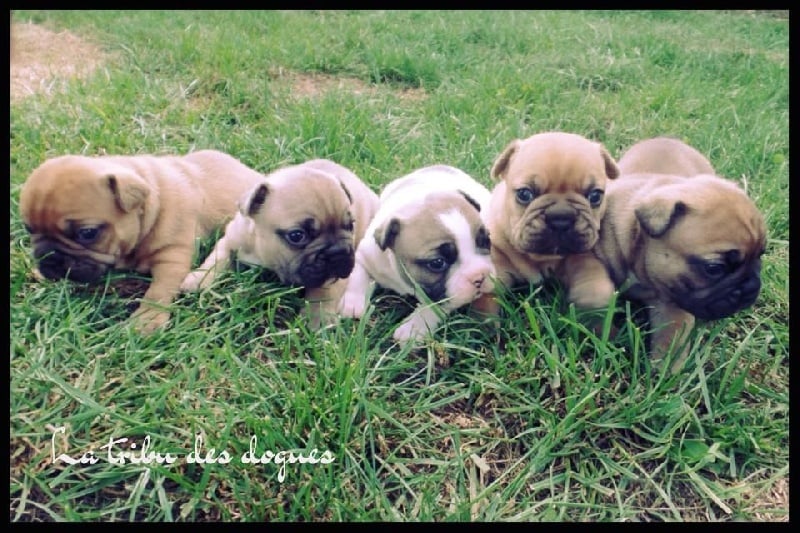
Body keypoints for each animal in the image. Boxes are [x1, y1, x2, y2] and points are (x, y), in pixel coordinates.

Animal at [18, 150, 266, 332]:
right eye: (28, 228)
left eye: (87, 233)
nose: (48, 256)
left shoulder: (172, 257)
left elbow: (158, 291)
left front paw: (146, 321)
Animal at [181, 158, 382, 328]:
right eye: (297, 236)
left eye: (350, 225)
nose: (338, 251)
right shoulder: (230, 240)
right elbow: (216, 259)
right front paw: (197, 279)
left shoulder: (331, 276)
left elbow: (324, 292)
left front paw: (316, 319)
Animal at [340, 164, 500, 342]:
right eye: (437, 263)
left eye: (485, 241)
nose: (479, 276)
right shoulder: (365, 256)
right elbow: (356, 275)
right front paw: (351, 302)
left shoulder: (446, 293)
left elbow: (433, 306)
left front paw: (413, 328)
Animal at [482, 130, 620, 312]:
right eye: (524, 194)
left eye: (595, 196)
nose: (560, 218)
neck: (542, 258)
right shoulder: (497, 256)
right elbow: (487, 296)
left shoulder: (584, 257)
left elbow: (594, 285)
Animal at [596, 137, 764, 368]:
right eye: (714, 268)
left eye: (760, 258)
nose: (751, 286)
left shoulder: (673, 304)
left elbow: (670, 340)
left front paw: (664, 371)